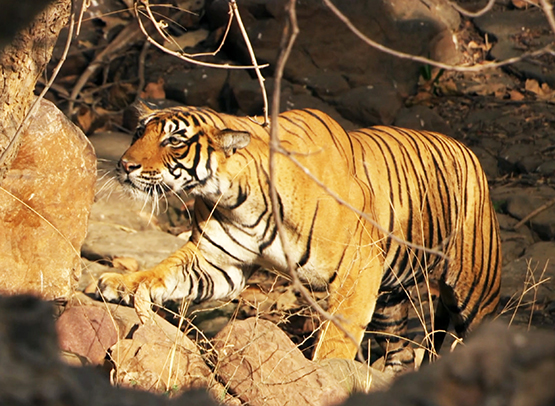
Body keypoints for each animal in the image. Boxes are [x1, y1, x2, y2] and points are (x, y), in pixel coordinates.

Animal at [96, 104, 504, 372]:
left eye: (174, 141)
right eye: (139, 133)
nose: (124, 164)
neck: (234, 196)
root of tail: (467, 149)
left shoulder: (357, 272)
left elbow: (337, 336)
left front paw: (327, 372)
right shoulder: (217, 262)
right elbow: (164, 270)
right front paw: (121, 283)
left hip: (474, 291)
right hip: (390, 302)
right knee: (401, 352)